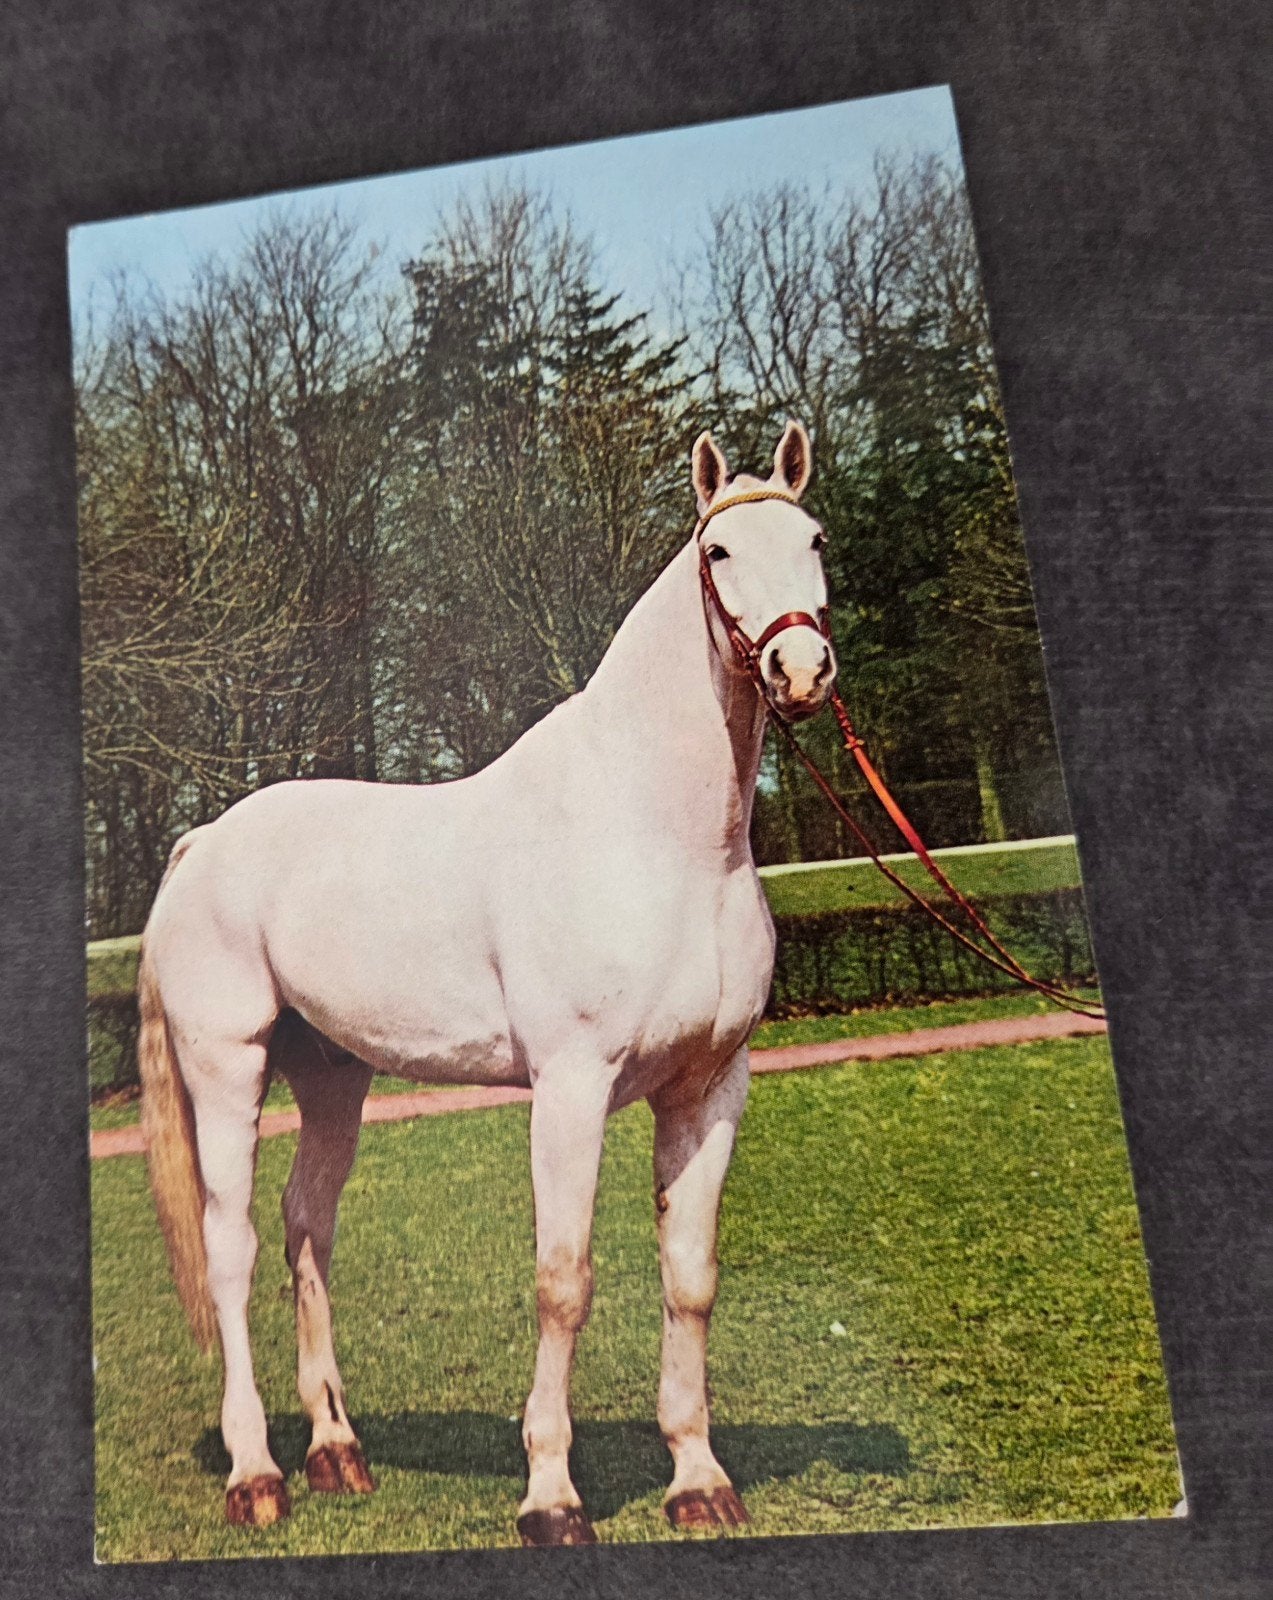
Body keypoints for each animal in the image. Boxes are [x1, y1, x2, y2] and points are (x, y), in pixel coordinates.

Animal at [137, 419, 836, 1545]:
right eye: (719, 551)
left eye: (814, 538)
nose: (800, 666)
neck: (659, 834)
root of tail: (204, 841)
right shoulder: (571, 1088)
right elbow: (563, 1281)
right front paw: (550, 1495)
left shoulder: (707, 1091)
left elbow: (689, 1279)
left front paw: (698, 1479)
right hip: (226, 1068)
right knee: (231, 1244)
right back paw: (257, 1474)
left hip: (331, 1076)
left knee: (306, 1227)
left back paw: (337, 1451)